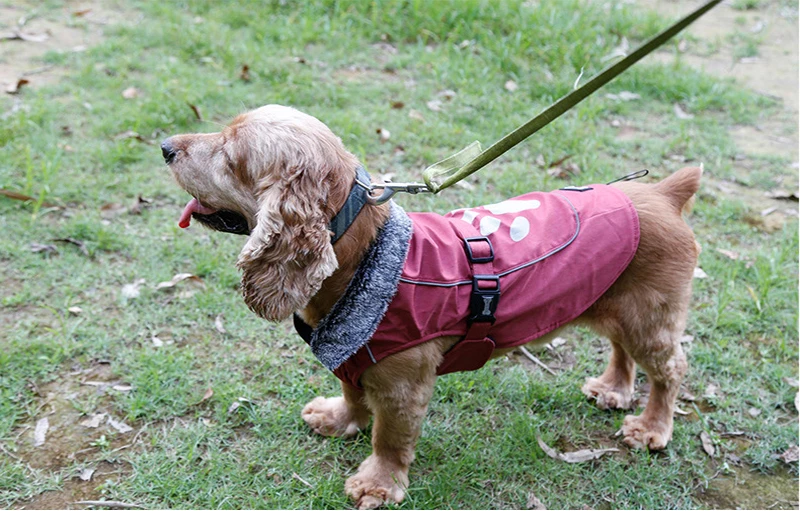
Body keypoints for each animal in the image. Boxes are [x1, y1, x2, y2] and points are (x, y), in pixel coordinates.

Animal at [162, 105, 700, 511]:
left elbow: (389, 438)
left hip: (649, 317)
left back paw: (652, 428)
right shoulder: (354, 356)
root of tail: (661, 193)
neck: (365, 254)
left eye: (232, 155)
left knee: (670, 370)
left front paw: (378, 484)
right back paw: (613, 390)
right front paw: (339, 419)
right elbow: (352, 394)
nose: (165, 146)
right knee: (621, 349)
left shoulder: (403, 386)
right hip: (615, 304)